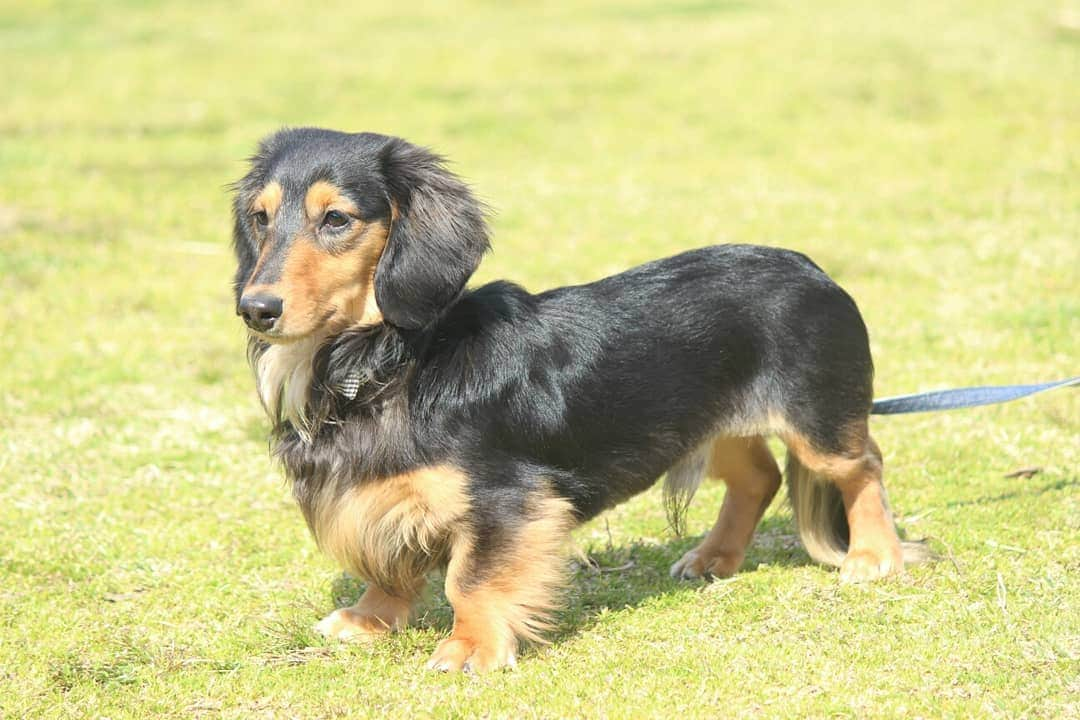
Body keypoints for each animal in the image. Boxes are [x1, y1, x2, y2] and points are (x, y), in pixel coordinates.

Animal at [232, 126, 924, 673]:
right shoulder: (374, 493)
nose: (255, 308)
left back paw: (872, 556)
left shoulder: (507, 497)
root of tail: (811, 267)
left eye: (336, 219)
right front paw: (369, 617)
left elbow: (468, 579)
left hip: (818, 419)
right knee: (760, 476)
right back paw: (714, 557)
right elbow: (389, 561)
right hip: (709, 422)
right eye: (261, 219)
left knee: (862, 467)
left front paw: (470, 647)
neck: (387, 360)